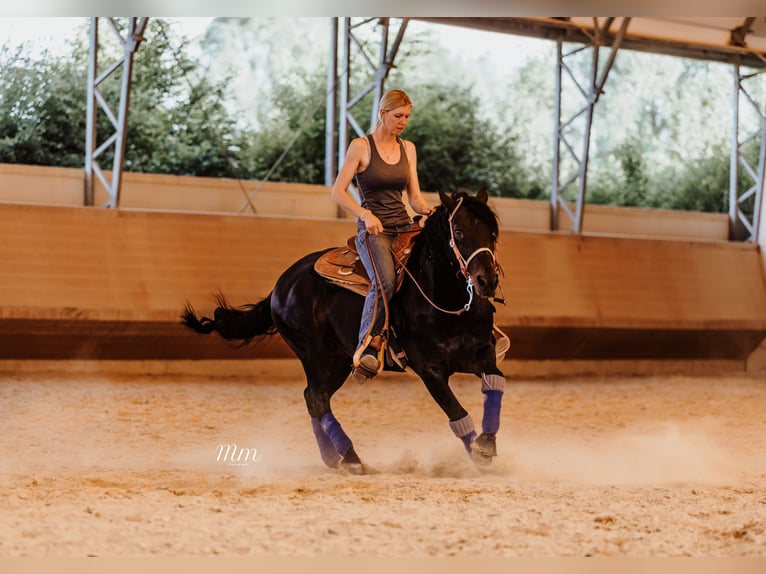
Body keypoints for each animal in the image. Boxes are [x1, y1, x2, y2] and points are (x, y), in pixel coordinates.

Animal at [182, 191, 508, 474]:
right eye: (459, 232)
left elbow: (496, 383)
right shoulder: (429, 369)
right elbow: (456, 413)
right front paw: (479, 454)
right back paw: (350, 458)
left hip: (339, 360)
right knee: (316, 397)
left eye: (492, 233)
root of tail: (280, 286)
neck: (445, 299)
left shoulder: (481, 354)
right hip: (315, 355)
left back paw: (333, 458)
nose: (486, 280)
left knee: (314, 398)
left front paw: (487, 445)